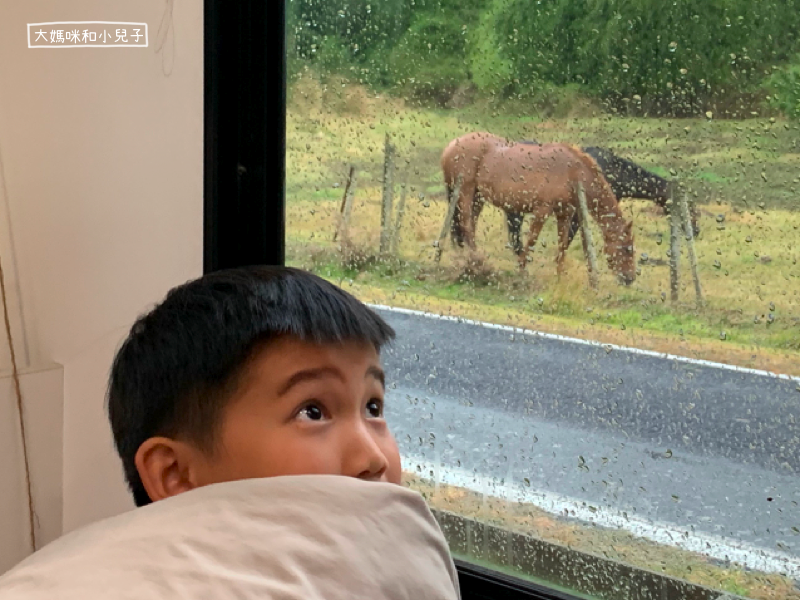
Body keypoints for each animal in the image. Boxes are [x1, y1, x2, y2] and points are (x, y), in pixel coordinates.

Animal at [438, 133, 636, 286]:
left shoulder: (565, 213)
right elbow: (531, 241)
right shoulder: (542, 211)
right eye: (627, 248)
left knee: (468, 226)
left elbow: (562, 246)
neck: (573, 171)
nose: (630, 278)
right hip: (465, 192)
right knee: (466, 225)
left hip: (477, 198)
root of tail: (451, 146)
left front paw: (559, 277)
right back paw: (478, 262)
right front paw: (522, 270)